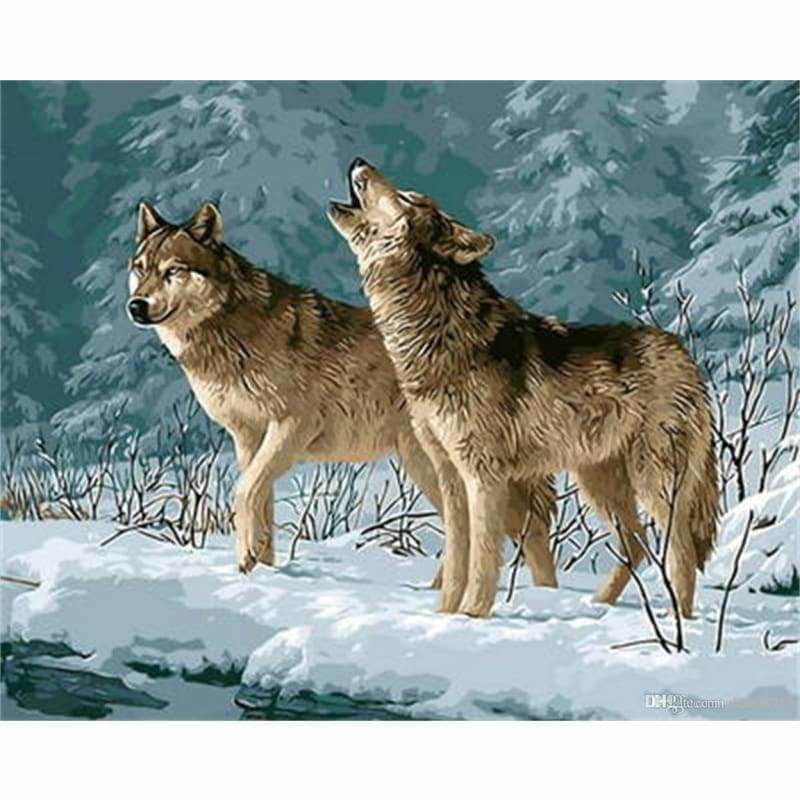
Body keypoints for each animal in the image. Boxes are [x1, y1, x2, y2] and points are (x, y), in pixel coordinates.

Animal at [127, 201, 558, 586]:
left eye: (173, 270)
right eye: (140, 268)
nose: (136, 306)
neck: (230, 335)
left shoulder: (292, 425)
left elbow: (245, 490)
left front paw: (249, 559)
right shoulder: (248, 438)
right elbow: (261, 502)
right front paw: (262, 568)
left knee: (529, 530)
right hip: (428, 465)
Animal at [328, 158, 719, 619]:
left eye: (409, 197)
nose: (358, 161)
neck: (437, 340)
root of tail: (685, 353)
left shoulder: (484, 476)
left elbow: (483, 558)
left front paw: (472, 615)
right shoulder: (450, 476)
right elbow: (456, 560)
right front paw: (444, 616)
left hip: (654, 481)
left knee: (680, 552)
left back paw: (679, 622)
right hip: (599, 483)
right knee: (637, 545)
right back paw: (597, 605)